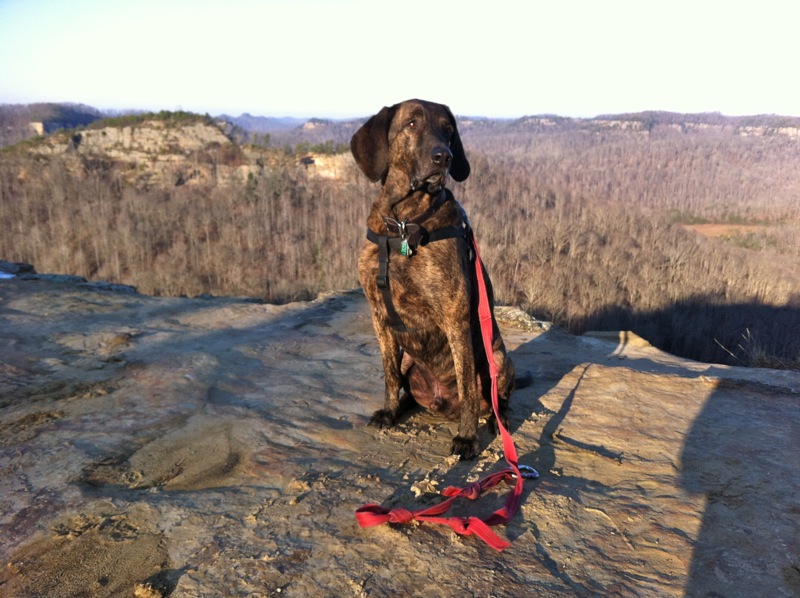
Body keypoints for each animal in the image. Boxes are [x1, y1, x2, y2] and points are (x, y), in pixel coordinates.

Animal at [351, 99, 518, 460]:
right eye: (412, 123)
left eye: (449, 129)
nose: (445, 157)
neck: (403, 223)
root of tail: (441, 403)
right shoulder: (379, 316)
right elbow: (388, 375)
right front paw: (389, 410)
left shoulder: (455, 317)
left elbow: (468, 386)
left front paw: (467, 438)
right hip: (409, 360)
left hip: (499, 359)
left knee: (495, 401)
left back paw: (494, 422)